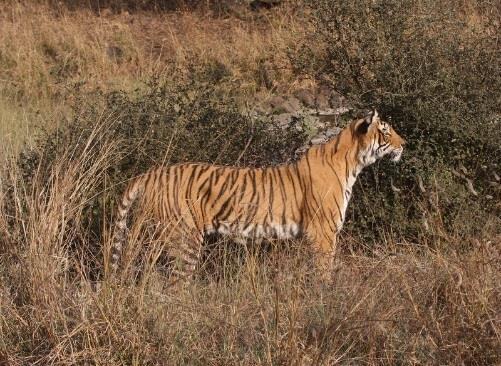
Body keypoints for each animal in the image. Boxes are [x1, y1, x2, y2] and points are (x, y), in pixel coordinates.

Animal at [110, 110, 406, 282]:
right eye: (386, 131)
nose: (405, 144)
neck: (353, 162)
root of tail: (152, 173)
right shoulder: (323, 231)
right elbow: (324, 270)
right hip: (184, 237)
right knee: (174, 282)